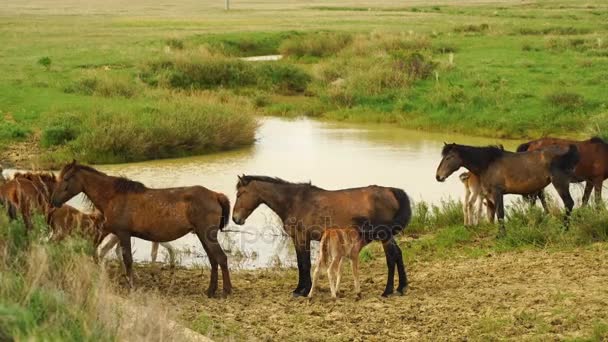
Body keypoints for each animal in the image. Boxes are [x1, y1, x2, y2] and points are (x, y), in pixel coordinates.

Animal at [50, 160, 233, 296]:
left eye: (67, 178)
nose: (53, 200)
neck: (113, 196)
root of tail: (215, 195)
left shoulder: (123, 234)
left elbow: (128, 260)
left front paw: (132, 286)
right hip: (203, 236)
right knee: (213, 260)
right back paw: (210, 291)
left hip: (207, 235)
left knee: (221, 258)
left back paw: (226, 291)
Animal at [233, 175, 414, 298]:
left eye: (240, 194)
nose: (235, 218)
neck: (295, 201)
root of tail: (390, 190)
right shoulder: (298, 239)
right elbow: (302, 263)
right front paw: (302, 288)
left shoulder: (302, 238)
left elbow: (304, 264)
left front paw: (302, 290)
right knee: (398, 254)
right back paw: (401, 287)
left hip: (384, 235)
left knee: (391, 258)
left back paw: (387, 291)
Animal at [434, 143, 576, 236]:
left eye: (448, 157)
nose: (438, 176)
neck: (489, 163)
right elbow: (497, 213)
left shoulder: (497, 192)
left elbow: (500, 213)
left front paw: (501, 235)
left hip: (559, 183)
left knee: (569, 203)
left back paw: (564, 230)